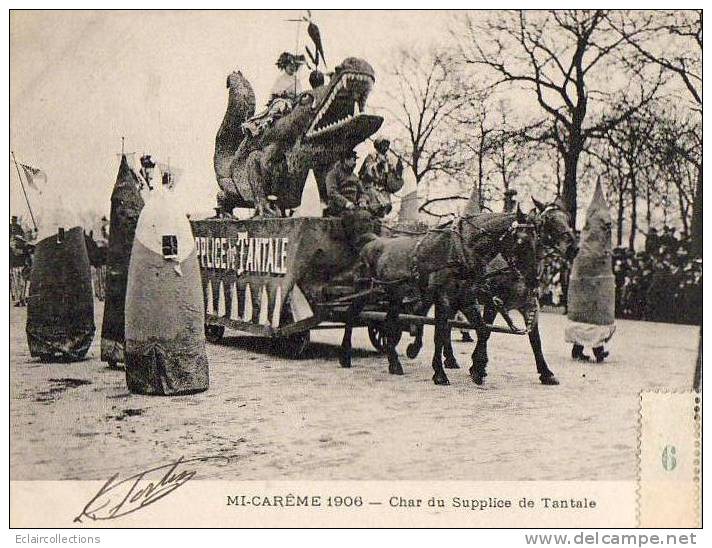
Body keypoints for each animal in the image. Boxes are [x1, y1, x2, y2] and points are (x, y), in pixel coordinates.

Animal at [340, 207, 540, 386]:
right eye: (521, 241)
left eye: (537, 241)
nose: (534, 281)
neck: (460, 249)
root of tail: (369, 243)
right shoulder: (443, 299)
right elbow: (440, 333)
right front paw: (440, 374)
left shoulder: (466, 299)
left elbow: (482, 330)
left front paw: (477, 370)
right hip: (366, 290)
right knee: (351, 313)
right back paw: (345, 357)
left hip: (395, 294)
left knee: (389, 324)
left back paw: (394, 364)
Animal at [404, 198, 576, 386]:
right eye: (548, 220)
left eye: (568, 219)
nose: (572, 248)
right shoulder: (491, 302)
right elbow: (484, 331)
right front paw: (477, 367)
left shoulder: (528, 305)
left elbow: (534, 339)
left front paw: (546, 373)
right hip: (433, 295)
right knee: (423, 314)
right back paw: (415, 348)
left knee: (446, 325)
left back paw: (449, 359)